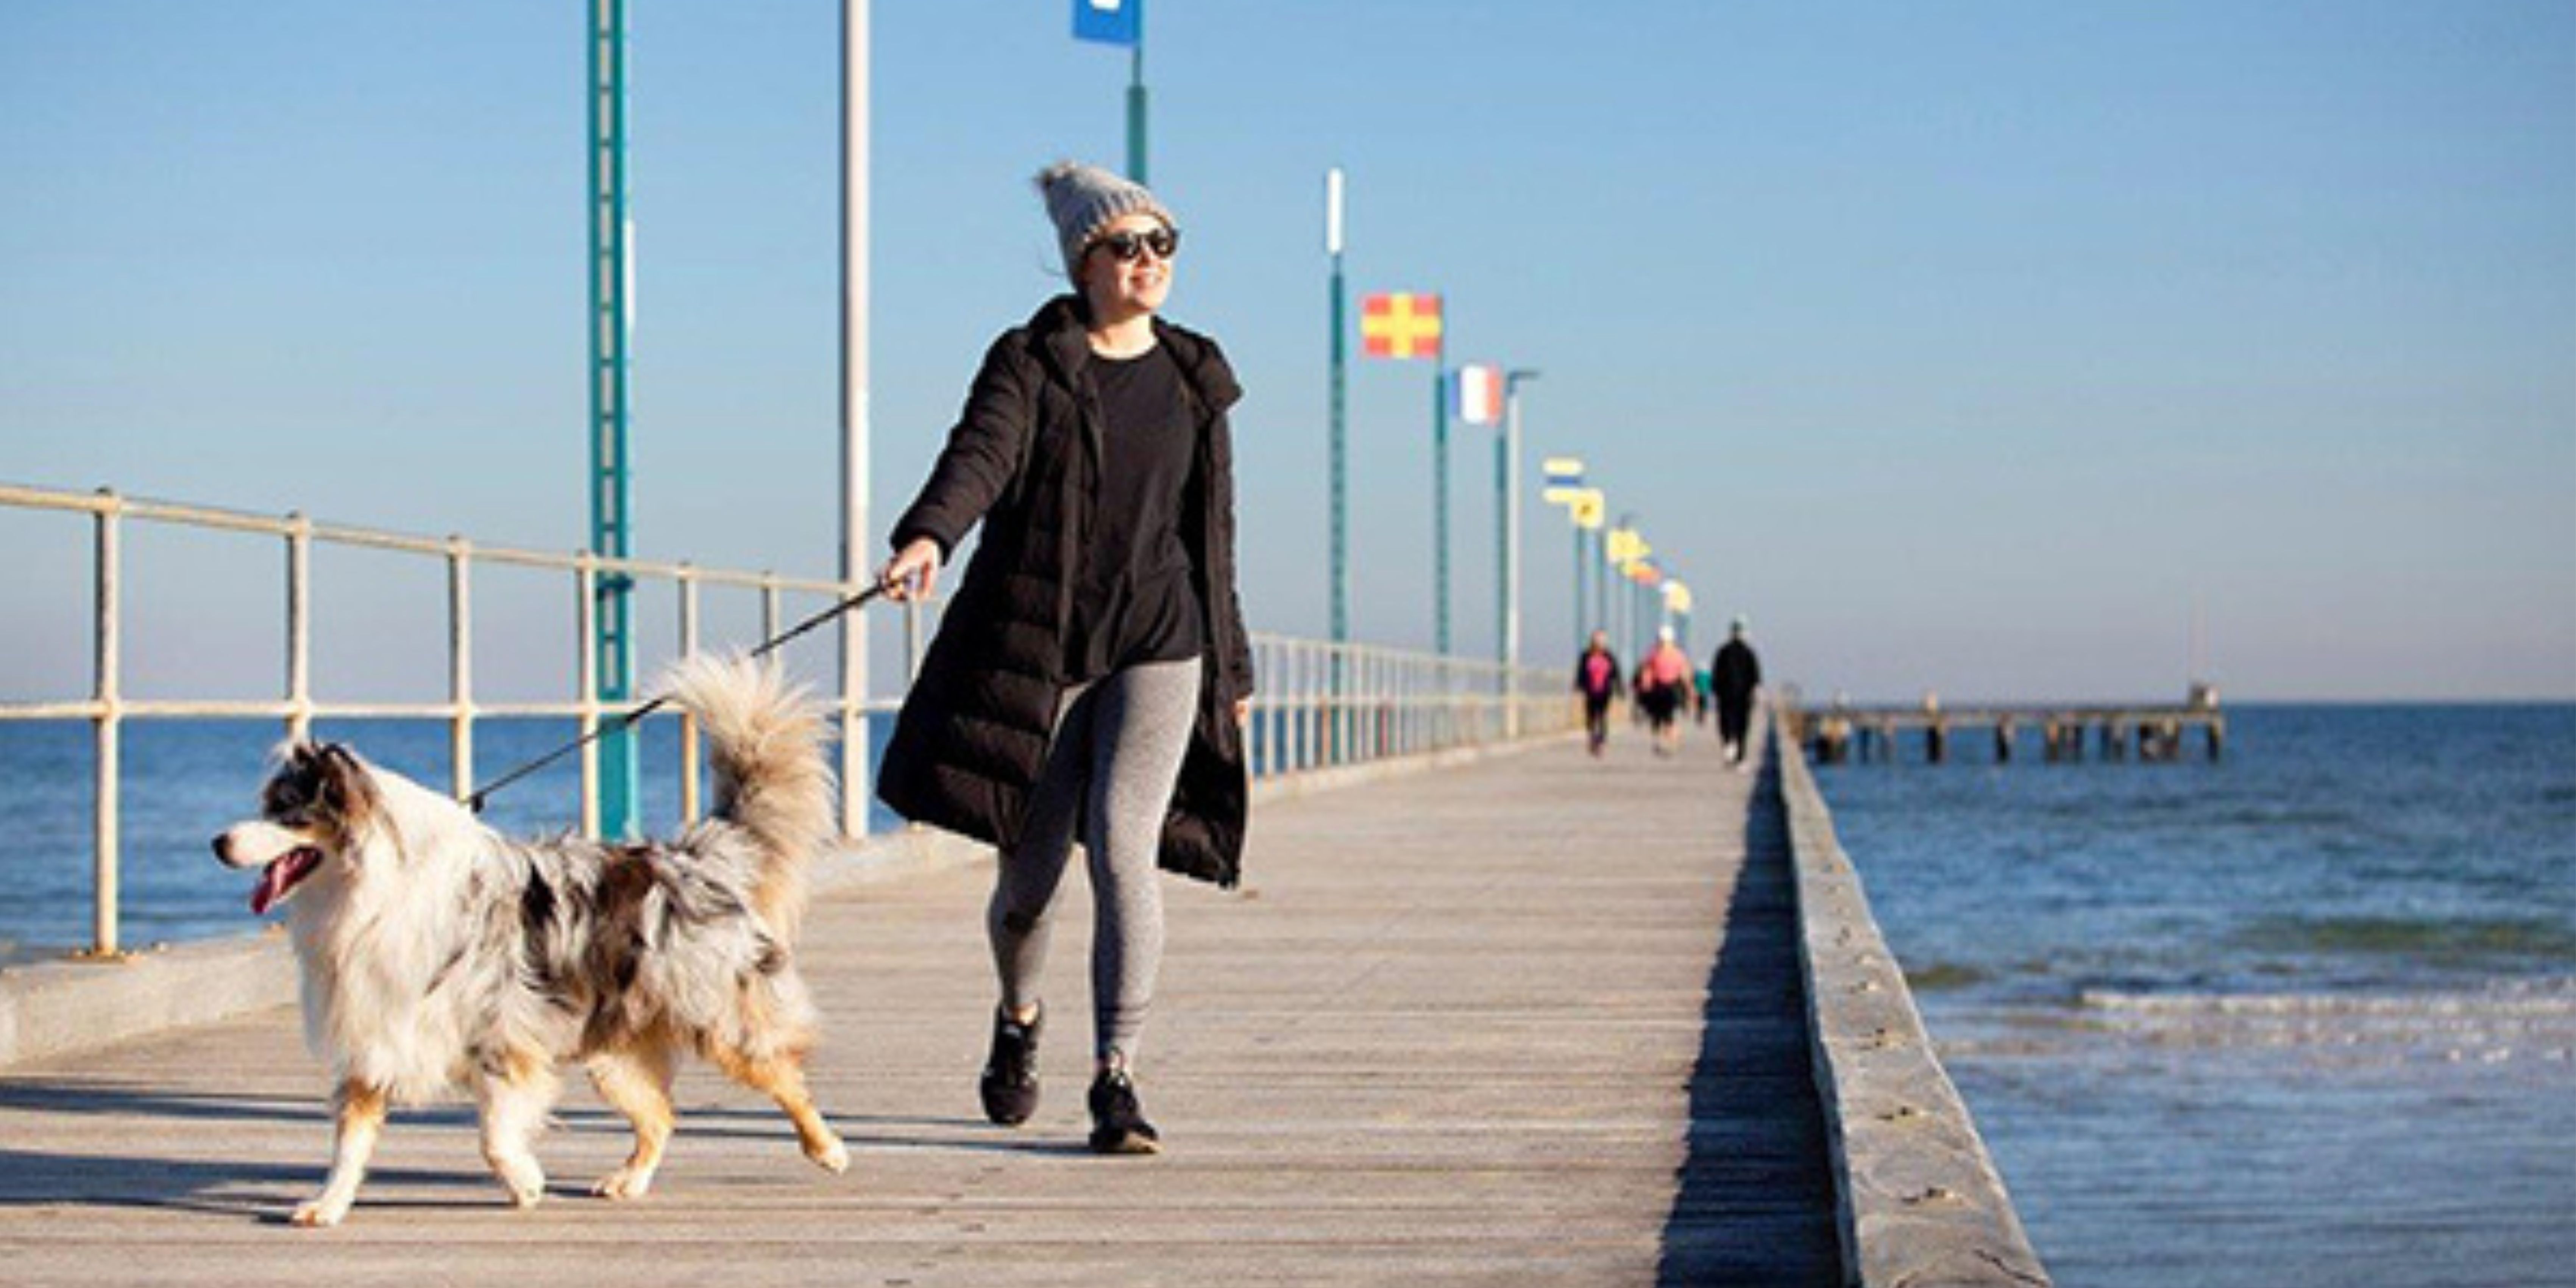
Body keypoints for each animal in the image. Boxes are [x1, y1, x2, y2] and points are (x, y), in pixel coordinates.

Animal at [214, 654, 845, 1226]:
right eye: (266, 806)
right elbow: (350, 1141)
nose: (219, 842)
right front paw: (327, 1205)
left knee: (784, 1077)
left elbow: (494, 1134)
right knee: (661, 1116)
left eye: (288, 814)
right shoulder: (378, 1033)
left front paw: (526, 1180)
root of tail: (695, 858)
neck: (370, 891)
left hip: (718, 1017)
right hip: (612, 1050)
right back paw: (627, 1180)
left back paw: (828, 1149)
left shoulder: (504, 1036)